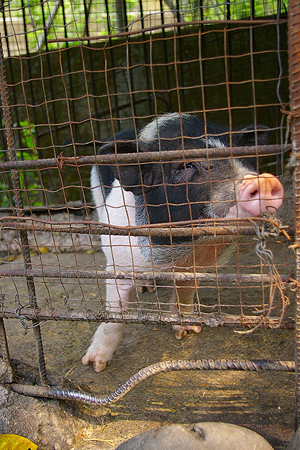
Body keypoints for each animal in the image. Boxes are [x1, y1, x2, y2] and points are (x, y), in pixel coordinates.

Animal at [82, 113, 284, 372]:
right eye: (186, 166)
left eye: (244, 160)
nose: (263, 181)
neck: (182, 252)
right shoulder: (119, 261)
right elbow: (115, 315)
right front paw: (95, 365)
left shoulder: (195, 268)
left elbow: (185, 297)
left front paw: (189, 331)